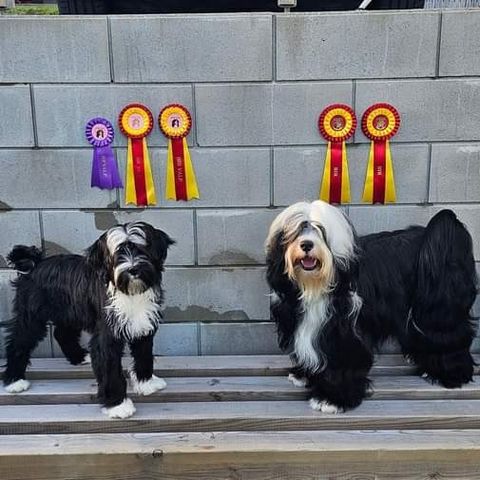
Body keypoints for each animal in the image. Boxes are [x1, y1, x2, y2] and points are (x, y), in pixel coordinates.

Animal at [1, 223, 174, 418]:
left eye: (142, 249)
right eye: (117, 256)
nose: (133, 269)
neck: (130, 293)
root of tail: (35, 264)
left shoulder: (143, 324)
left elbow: (144, 354)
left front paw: (146, 383)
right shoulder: (107, 336)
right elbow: (110, 369)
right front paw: (118, 405)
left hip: (71, 311)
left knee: (62, 333)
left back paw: (78, 356)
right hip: (32, 316)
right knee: (19, 341)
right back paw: (14, 380)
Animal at [266, 201, 476, 414]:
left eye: (321, 231)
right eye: (297, 231)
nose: (307, 244)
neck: (315, 285)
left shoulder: (345, 332)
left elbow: (342, 362)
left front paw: (333, 399)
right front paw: (304, 374)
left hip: (440, 310)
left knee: (450, 337)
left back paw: (451, 374)